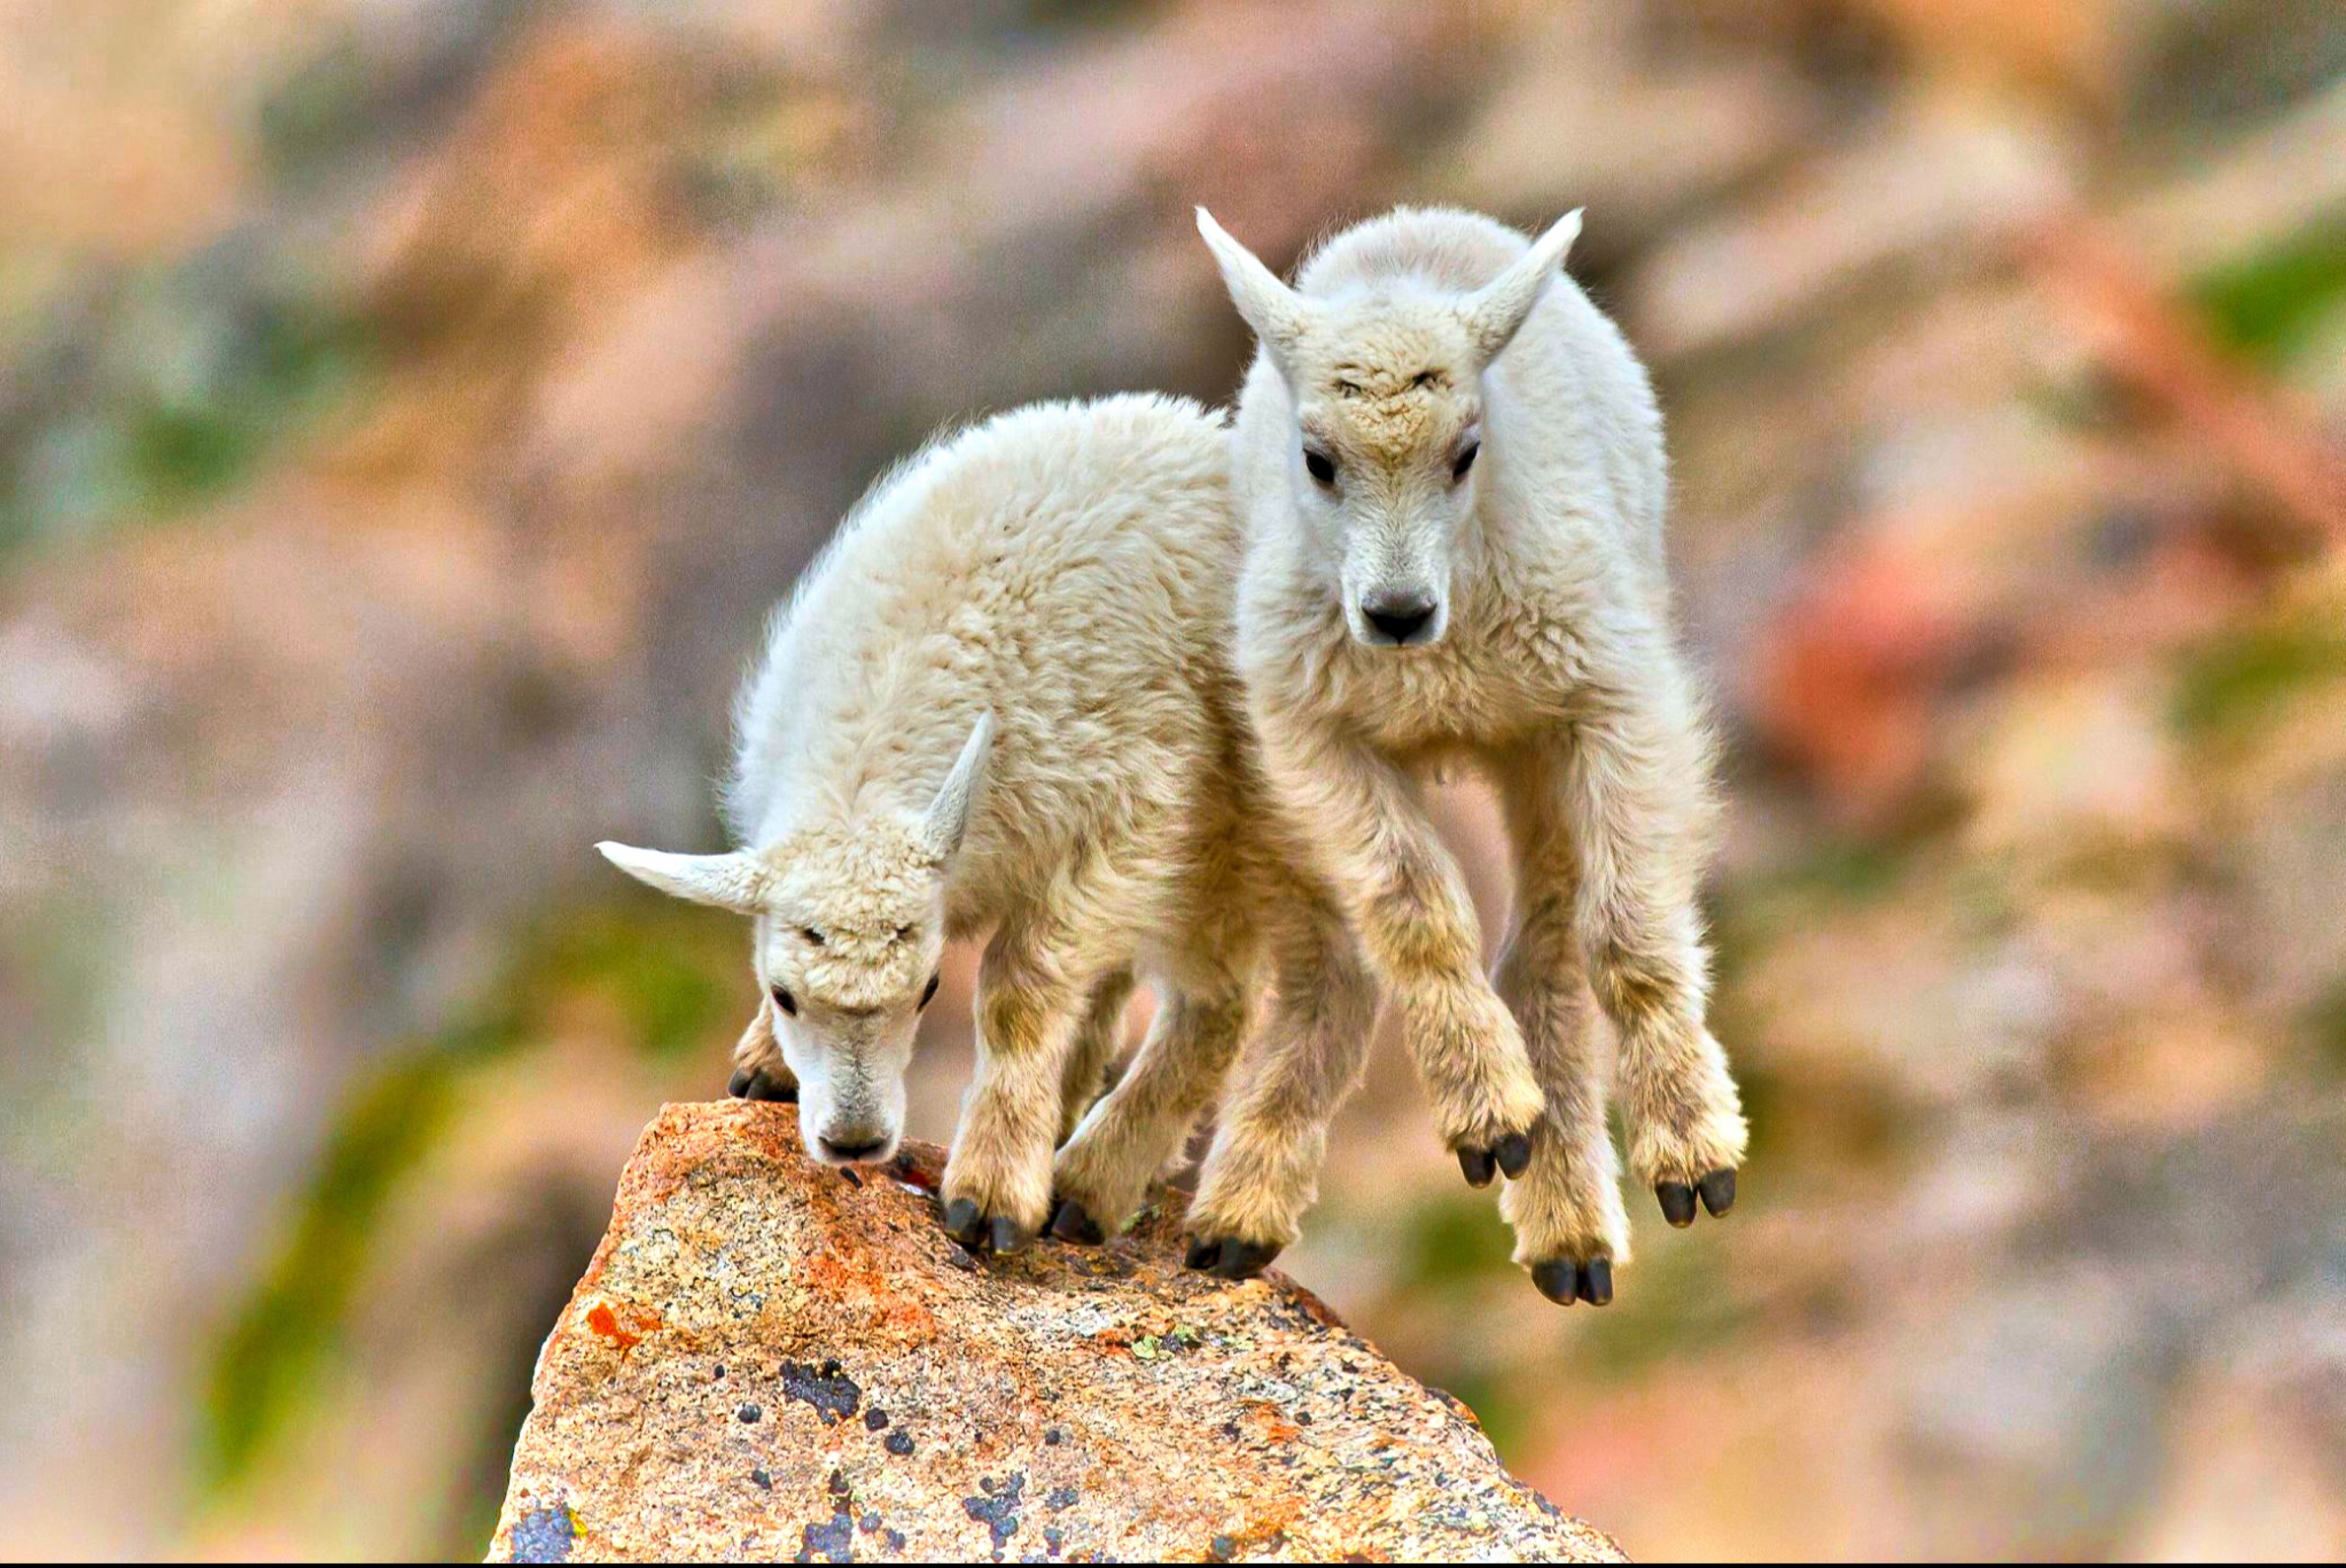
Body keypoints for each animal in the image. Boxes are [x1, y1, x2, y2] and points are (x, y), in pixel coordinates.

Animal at [597, 394, 1373, 1269]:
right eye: (784, 994)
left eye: (931, 988)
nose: (855, 1142)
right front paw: (765, 1064)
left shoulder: (1127, 814)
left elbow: (1019, 995)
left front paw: (991, 1194)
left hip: (1269, 808)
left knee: (1309, 982)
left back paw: (1214, 1207)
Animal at [1196, 204, 1748, 1305]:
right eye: (1317, 457)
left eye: (1466, 450)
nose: (1396, 613)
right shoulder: (1312, 732)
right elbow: (1412, 906)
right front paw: (1489, 1115)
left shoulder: (1611, 702)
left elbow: (1626, 931)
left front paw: (1695, 1152)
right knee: (1336, 970)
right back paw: (1248, 1209)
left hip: (1534, 746)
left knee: (1546, 943)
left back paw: (1572, 1229)